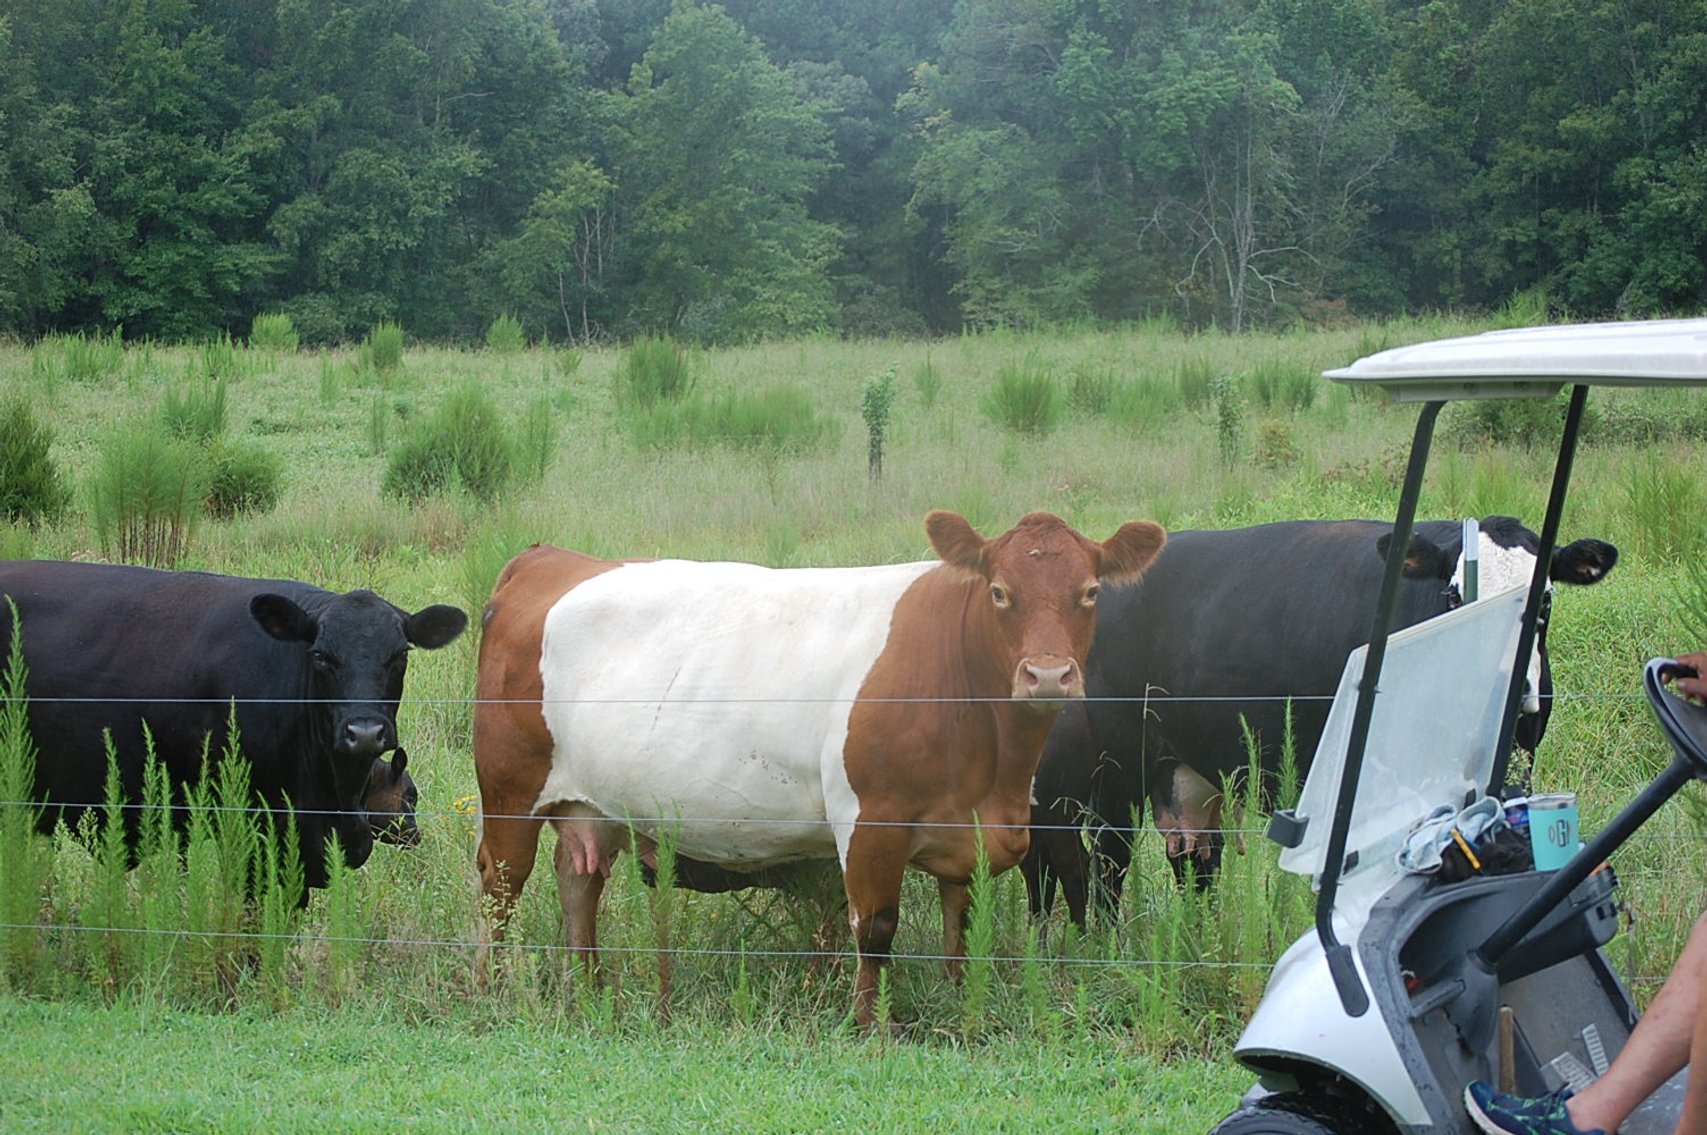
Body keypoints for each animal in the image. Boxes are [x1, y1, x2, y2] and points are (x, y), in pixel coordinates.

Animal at [472, 510, 1166, 1027]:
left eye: (1091, 592)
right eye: (1000, 592)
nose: (1047, 674)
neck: (995, 771)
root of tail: (550, 559)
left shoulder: (964, 831)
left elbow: (960, 923)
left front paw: (955, 995)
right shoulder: (870, 820)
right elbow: (875, 927)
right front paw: (870, 1025)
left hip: (593, 804)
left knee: (578, 882)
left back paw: (587, 986)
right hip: (509, 791)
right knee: (501, 885)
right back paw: (491, 989)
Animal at [1023, 516, 1617, 929]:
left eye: (1544, 599)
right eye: (1455, 595)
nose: (1506, 682)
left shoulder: (1516, 762)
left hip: (1189, 769)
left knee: (1195, 861)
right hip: (1118, 766)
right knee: (1107, 864)